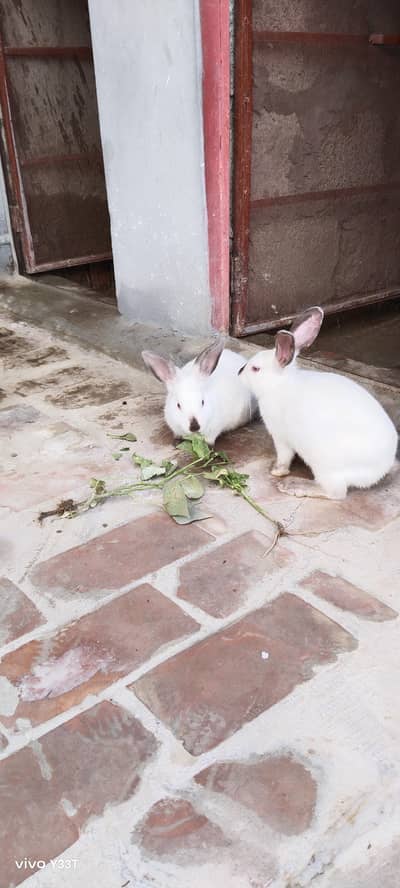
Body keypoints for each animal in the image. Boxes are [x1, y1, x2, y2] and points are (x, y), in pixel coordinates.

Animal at [238, 306, 398, 500]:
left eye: (255, 369)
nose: (239, 373)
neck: (279, 385)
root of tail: (380, 469)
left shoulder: (281, 437)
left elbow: (284, 457)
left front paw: (276, 471)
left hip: (326, 464)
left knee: (336, 492)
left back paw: (293, 486)